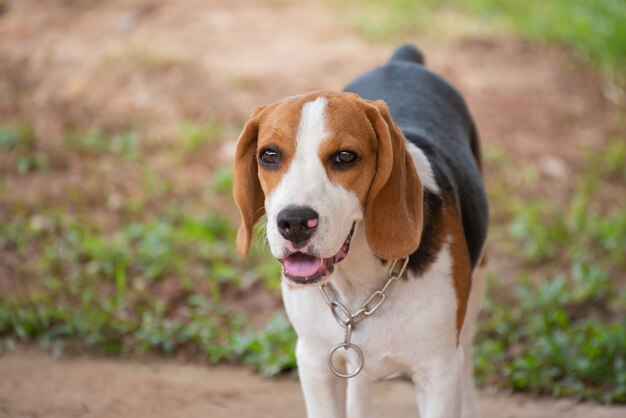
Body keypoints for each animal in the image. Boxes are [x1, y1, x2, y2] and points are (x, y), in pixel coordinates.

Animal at [233, 44, 488, 416]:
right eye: (268, 155)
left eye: (344, 157)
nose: (294, 222)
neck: (358, 285)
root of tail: (402, 60)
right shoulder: (314, 362)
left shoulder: (438, 371)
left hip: (476, 291)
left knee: (468, 357)